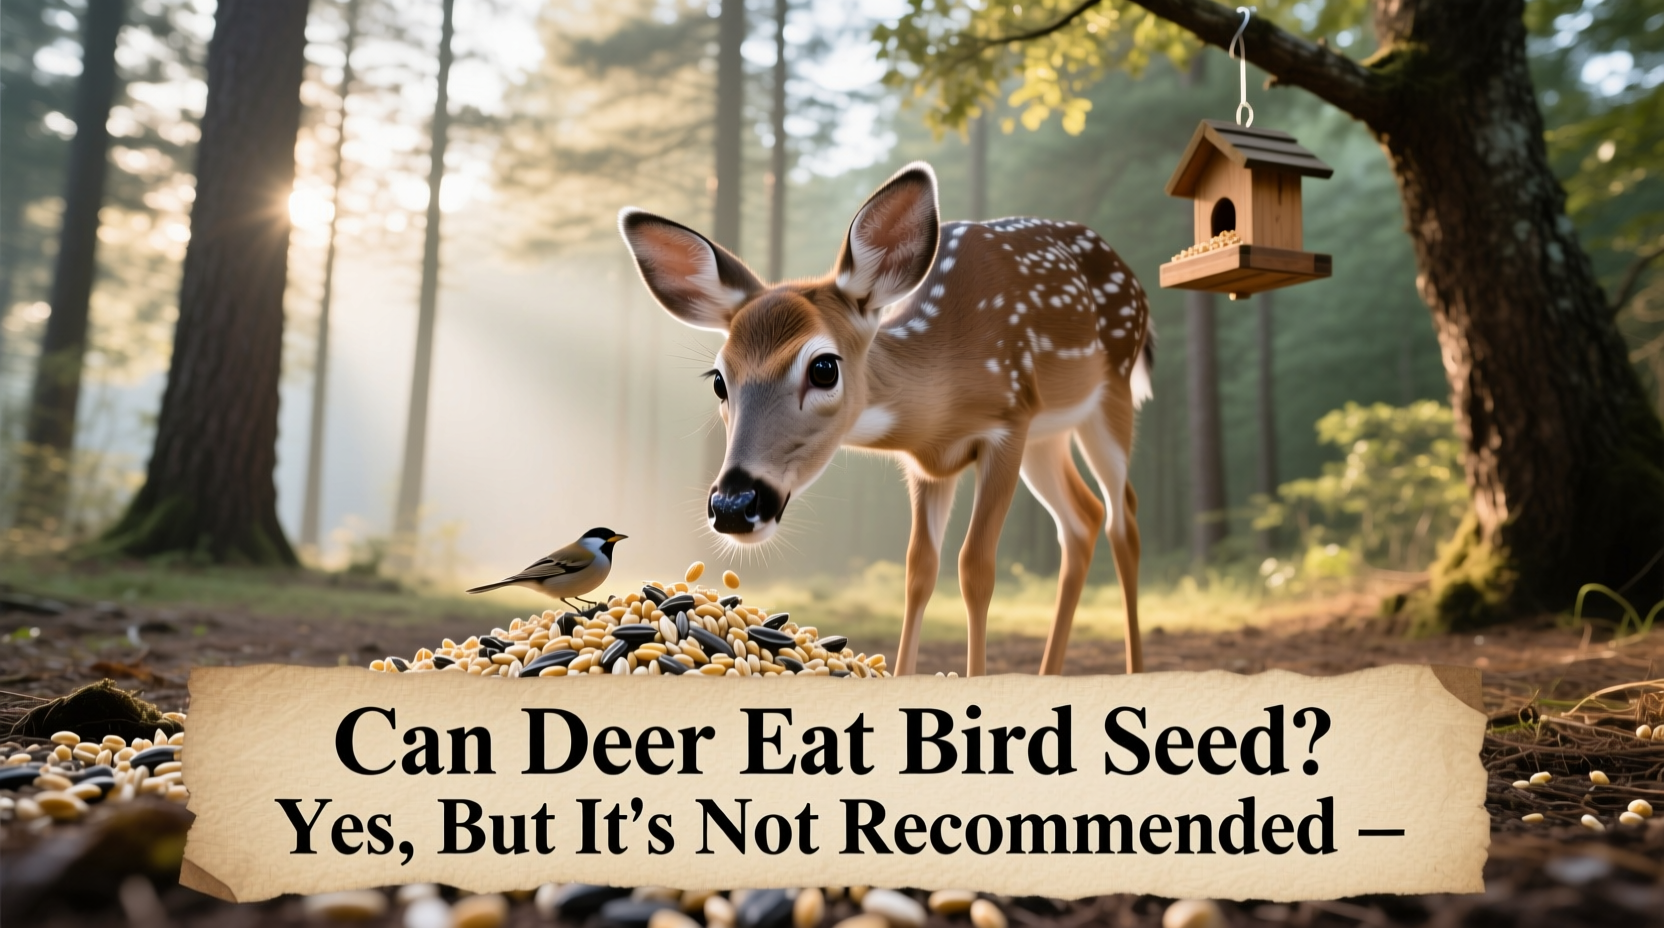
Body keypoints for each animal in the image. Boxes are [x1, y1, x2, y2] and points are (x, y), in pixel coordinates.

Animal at [619, 163, 1151, 676]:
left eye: (824, 367)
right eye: (719, 380)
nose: (734, 505)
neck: (942, 399)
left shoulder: (1008, 423)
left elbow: (976, 568)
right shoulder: (927, 464)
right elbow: (919, 571)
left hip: (1111, 394)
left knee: (1123, 518)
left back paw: (1134, 668)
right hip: (1048, 436)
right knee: (1083, 519)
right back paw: (1048, 673)